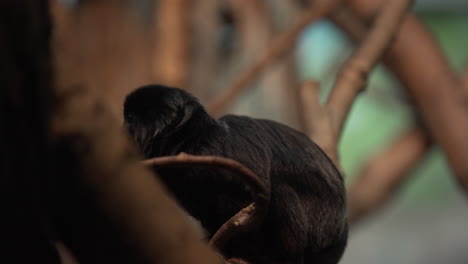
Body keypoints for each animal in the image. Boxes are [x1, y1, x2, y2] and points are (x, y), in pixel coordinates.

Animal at [124, 84, 348, 264]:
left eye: (131, 119)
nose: (123, 127)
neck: (191, 142)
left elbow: (254, 190)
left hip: (320, 229)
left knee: (278, 189)